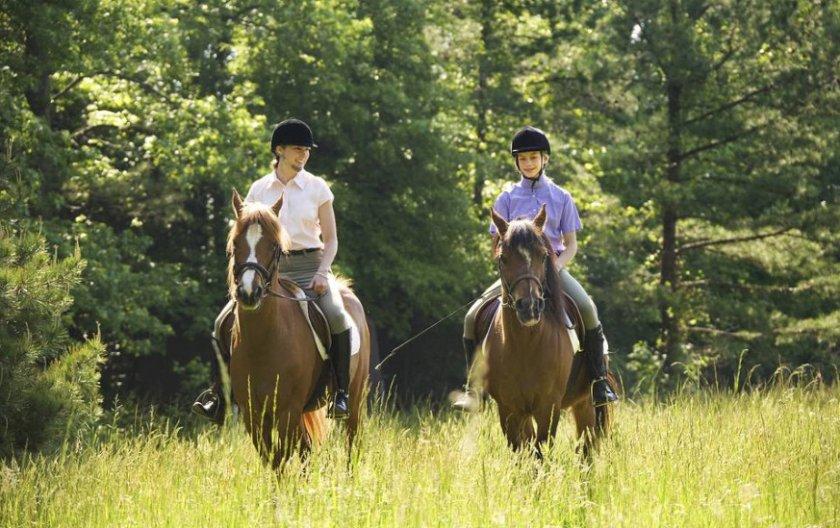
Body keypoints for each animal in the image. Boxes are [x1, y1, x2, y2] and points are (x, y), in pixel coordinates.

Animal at [225, 191, 370, 470]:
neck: (263, 342)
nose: (249, 293)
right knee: (306, 450)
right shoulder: (253, 414)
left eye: (273, 246)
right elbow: (271, 459)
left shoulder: (287, 411)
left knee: (351, 445)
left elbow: (281, 457)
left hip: (355, 399)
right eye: (236, 243)